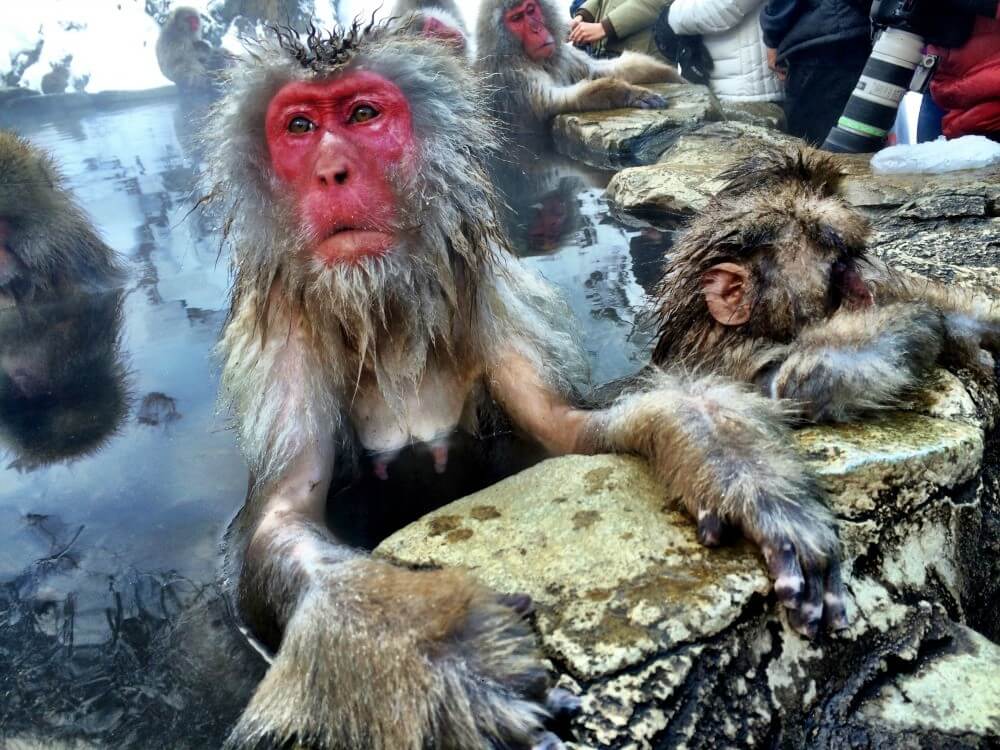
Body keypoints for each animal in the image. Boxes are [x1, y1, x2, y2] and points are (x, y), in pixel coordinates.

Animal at [203, 24, 845, 750]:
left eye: (363, 114)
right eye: (300, 127)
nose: (331, 171)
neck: (385, 310)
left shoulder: (493, 296)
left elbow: (565, 427)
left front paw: (727, 464)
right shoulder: (281, 338)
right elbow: (280, 519)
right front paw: (433, 660)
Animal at [475, 0, 686, 137]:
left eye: (530, 10)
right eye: (517, 18)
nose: (536, 29)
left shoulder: (564, 55)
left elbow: (598, 69)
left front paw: (669, 74)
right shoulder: (512, 77)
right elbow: (551, 102)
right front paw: (627, 93)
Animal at [651, 145, 1000, 426]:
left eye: (852, 260)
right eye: (839, 271)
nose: (862, 291)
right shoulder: (728, 364)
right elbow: (791, 384)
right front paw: (922, 317)